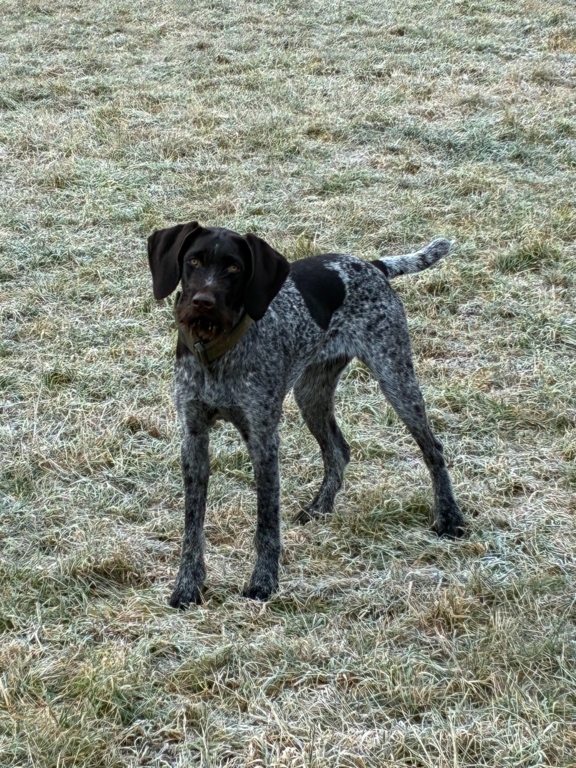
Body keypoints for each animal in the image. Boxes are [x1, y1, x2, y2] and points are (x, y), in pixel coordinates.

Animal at [147, 222, 463, 607]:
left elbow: (267, 522)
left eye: (234, 267)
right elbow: (192, 525)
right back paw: (320, 507)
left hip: (395, 378)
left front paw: (264, 582)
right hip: (310, 393)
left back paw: (449, 517)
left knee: (432, 448)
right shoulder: (193, 439)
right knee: (338, 449)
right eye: (193, 260)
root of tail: (372, 265)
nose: (203, 303)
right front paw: (188, 584)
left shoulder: (263, 439)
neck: (218, 354)